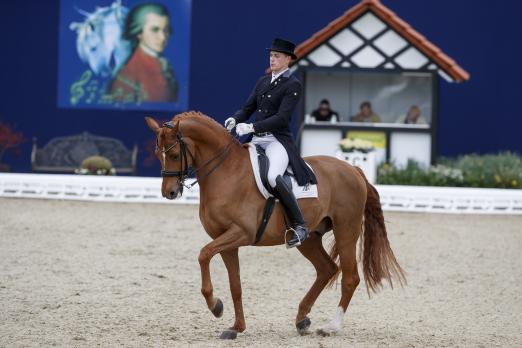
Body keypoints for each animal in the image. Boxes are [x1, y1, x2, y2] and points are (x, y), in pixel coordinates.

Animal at [144, 112, 404, 340]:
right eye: (157, 153)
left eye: (174, 154)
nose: (169, 193)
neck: (226, 172)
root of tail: (353, 169)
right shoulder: (227, 241)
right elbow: (235, 284)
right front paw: (236, 327)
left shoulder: (241, 233)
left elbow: (203, 254)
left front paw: (215, 306)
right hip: (309, 238)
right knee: (326, 269)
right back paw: (301, 319)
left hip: (346, 231)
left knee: (350, 277)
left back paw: (331, 327)